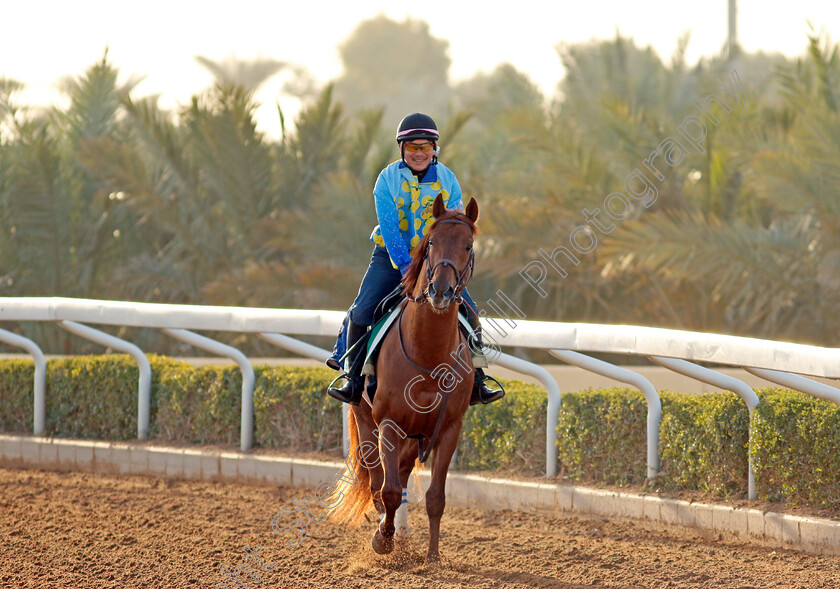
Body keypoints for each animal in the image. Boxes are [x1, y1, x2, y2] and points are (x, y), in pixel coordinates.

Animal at [332, 193, 482, 560]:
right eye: (431, 244)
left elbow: (435, 497)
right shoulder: (389, 422)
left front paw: (433, 558)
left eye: (468, 246)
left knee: (399, 474)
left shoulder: (448, 427)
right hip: (365, 415)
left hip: (416, 435)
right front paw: (382, 541)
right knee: (377, 478)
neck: (429, 356)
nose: (440, 291)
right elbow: (387, 489)